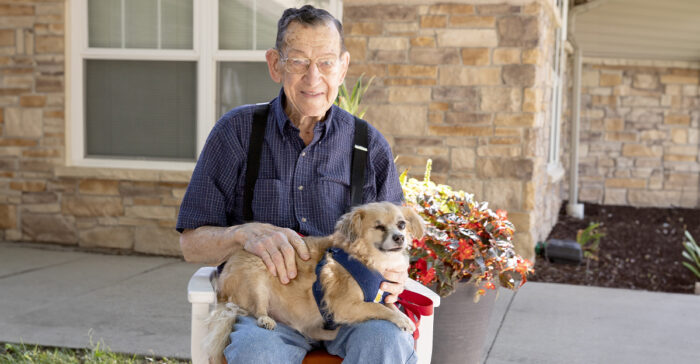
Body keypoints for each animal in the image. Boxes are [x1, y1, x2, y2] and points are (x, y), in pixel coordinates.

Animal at [200, 203, 424, 362]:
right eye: (379, 226)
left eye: (402, 224)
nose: (400, 237)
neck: (368, 260)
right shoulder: (345, 305)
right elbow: (379, 308)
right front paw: (402, 320)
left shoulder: (381, 295)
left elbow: (389, 305)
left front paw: (404, 317)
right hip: (257, 278)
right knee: (258, 309)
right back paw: (265, 319)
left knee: (312, 331)